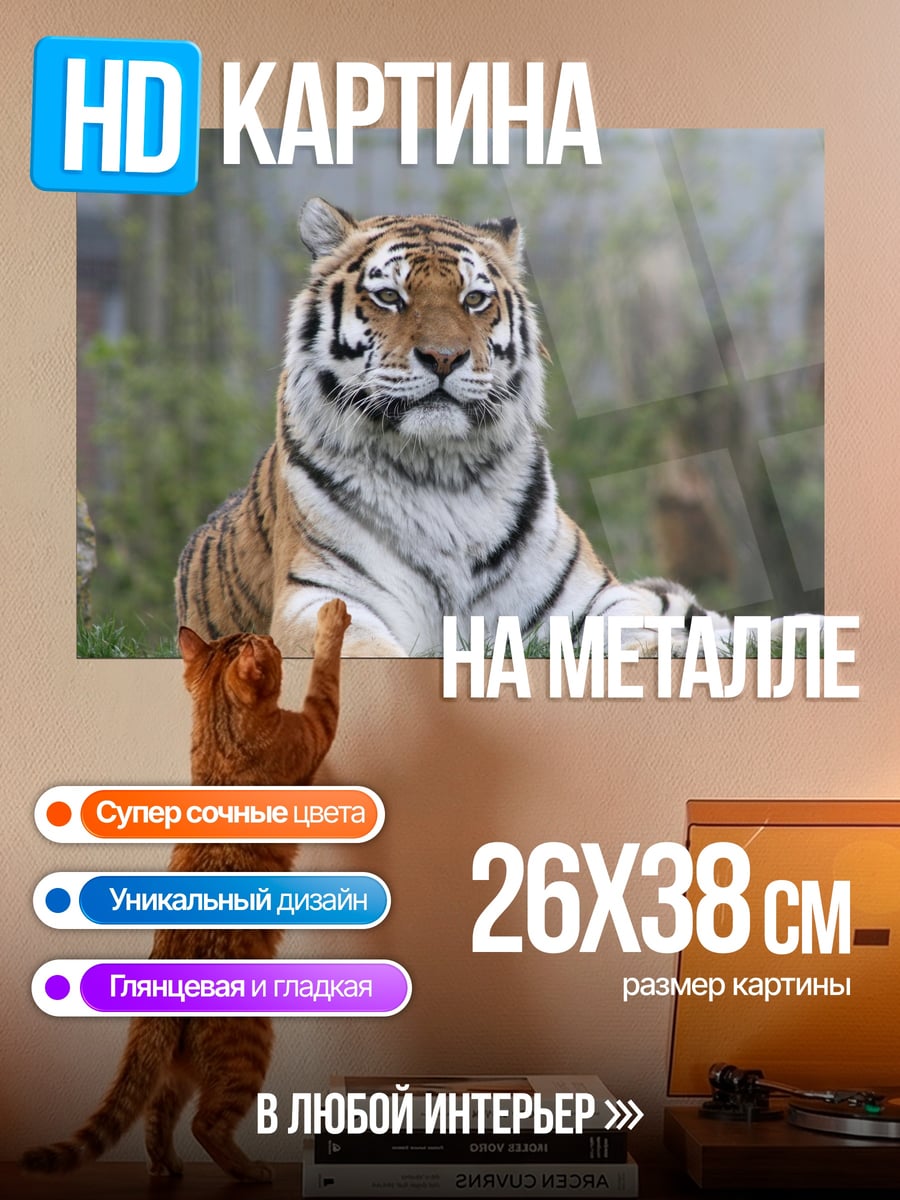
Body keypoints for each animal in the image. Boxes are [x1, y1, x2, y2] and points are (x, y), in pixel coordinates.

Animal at [175, 196, 745, 658]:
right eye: (389, 298)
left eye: (474, 299)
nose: (444, 357)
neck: (442, 471)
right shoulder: (322, 597)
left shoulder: (589, 600)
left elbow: (642, 629)